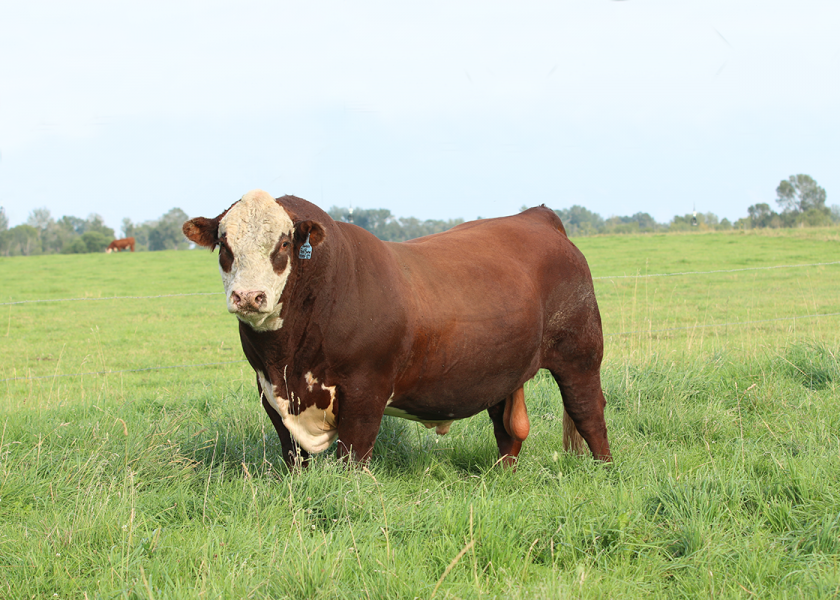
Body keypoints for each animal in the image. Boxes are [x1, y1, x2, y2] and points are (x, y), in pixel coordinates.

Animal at [182, 190, 611, 469]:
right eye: (224, 244)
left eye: (284, 244)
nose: (248, 296)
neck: (287, 357)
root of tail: (536, 217)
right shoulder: (270, 392)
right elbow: (293, 457)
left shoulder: (365, 391)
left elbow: (352, 459)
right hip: (502, 369)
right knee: (508, 431)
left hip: (580, 353)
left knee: (588, 412)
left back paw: (604, 470)